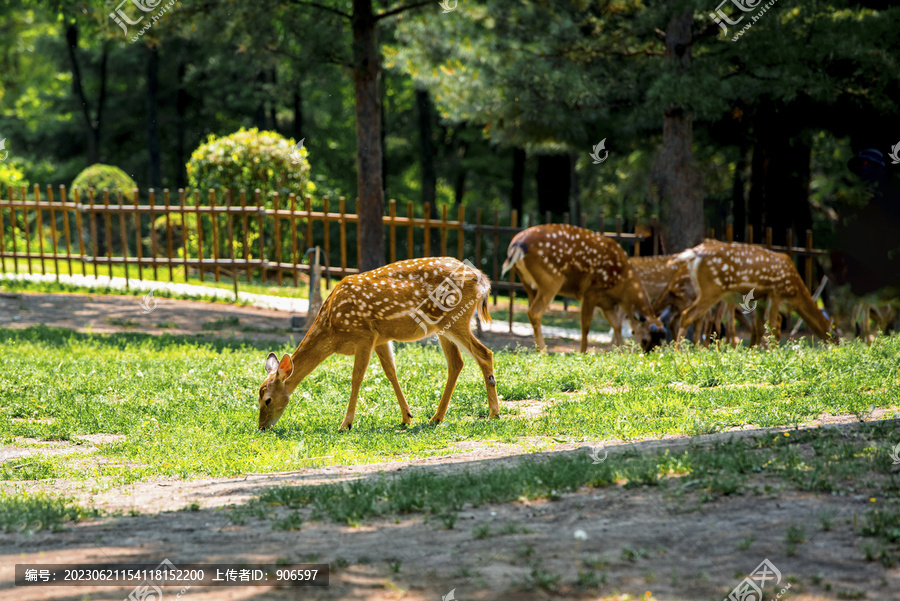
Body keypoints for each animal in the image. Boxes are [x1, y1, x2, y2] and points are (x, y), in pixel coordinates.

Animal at [256, 255, 502, 428]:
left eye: (267, 399)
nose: (262, 427)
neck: (332, 330)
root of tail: (480, 278)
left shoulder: (364, 335)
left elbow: (356, 378)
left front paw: (346, 424)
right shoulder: (381, 338)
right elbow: (391, 372)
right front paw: (407, 417)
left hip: (455, 319)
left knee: (484, 353)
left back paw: (493, 413)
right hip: (443, 327)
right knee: (456, 363)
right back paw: (436, 418)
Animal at [502, 225, 664, 352]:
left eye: (660, 340)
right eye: (645, 339)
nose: (647, 353)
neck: (623, 285)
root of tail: (516, 245)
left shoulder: (606, 303)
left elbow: (616, 325)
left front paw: (620, 351)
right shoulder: (591, 292)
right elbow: (586, 326)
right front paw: (583, 352)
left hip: (529, 284)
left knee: (532, 312)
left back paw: (538, 350)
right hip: (551, 279)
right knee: (534, 312)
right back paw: (544, 351)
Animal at [672, 238, 832, 342]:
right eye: (834, 334)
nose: (834, 346)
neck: (794, 292)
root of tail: (692, 254)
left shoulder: (761, 300)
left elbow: (761, 328)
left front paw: (755, 353)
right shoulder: (776, 293)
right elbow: (772, 326)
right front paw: (773, 353)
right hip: (712, 289)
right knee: (687, 316)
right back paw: (680, 352)